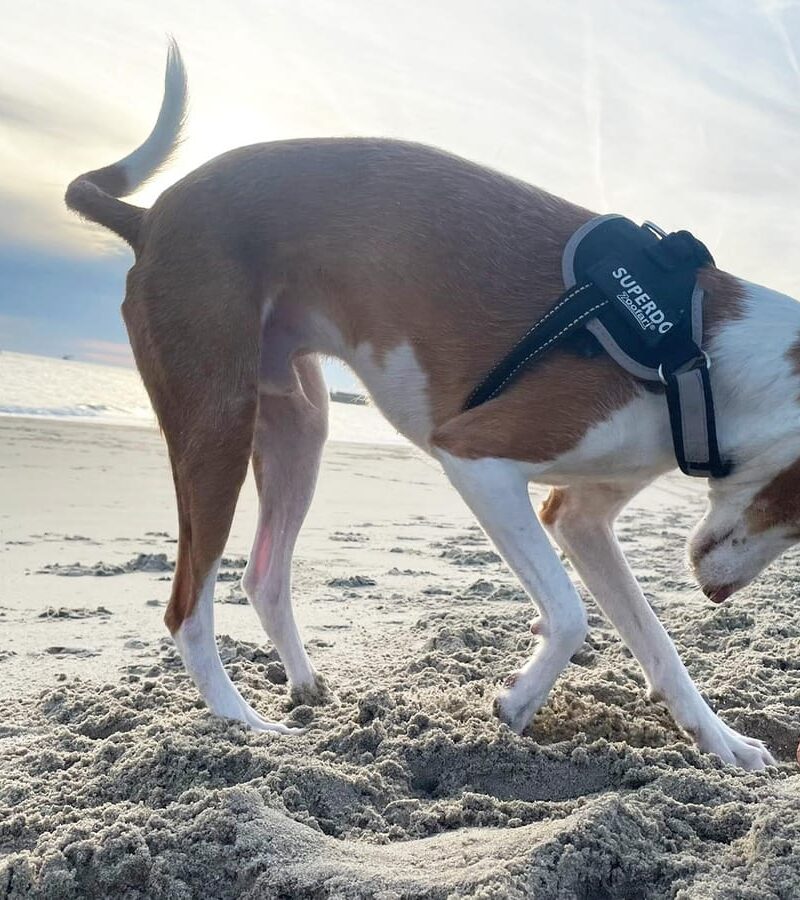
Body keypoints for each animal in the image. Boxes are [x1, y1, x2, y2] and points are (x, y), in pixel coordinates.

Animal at [64, 45, 800, 768]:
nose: (716, 597)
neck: (697, 346)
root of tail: (150, 217)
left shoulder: (581, 518)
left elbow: (655, 640)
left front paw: (720, 739)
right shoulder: (478, 458)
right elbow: (569, 614)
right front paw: (518, 702)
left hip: (299, 425)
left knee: (263, 578)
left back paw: (304, 691)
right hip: (217, 420)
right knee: (187, 606)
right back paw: (242, 723)